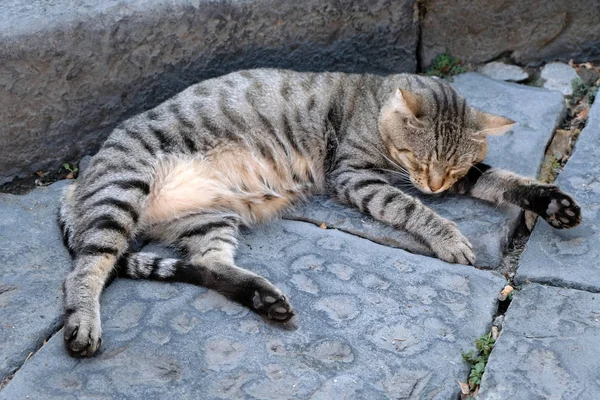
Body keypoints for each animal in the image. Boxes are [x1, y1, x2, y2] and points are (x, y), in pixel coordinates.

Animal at [57, 69, 580, 356]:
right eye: (422, 160)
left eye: (450, 168)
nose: (435, 184)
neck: (374, 104)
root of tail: (75, 185)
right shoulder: (357, 177)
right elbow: (412, 207)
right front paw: (449, 236)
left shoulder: (458, 175)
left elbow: (499, 178)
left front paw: (549, 200)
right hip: (122, 191)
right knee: (85, 269)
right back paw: (83, 321)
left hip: (210, 217)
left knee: (208, 265)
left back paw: (264, 298)